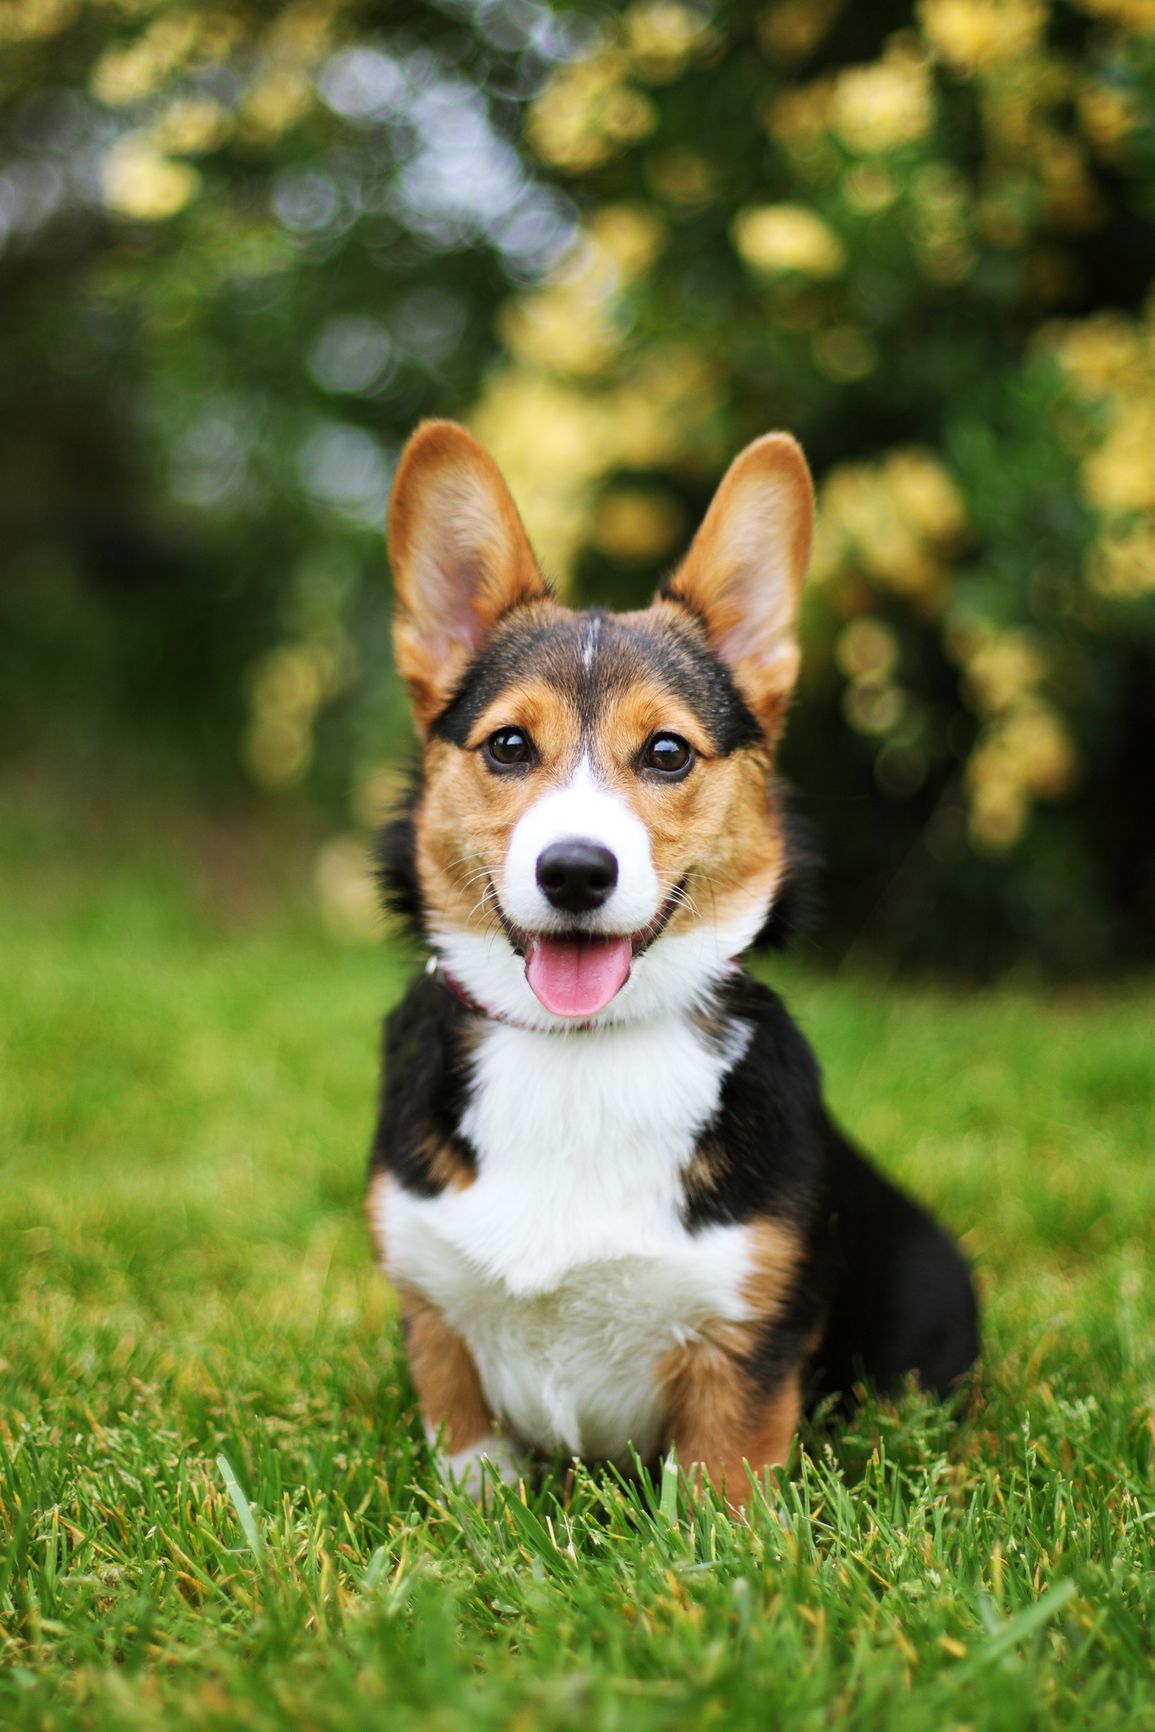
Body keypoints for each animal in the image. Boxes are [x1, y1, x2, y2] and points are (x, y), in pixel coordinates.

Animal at [365, 419, 983, 1503]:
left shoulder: (744, 1341)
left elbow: (722, 1490)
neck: (578, 1051)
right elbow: (472, 1467)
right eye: (509, 745)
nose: (575, 871)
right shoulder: (436, 1317)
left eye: (666, 753)